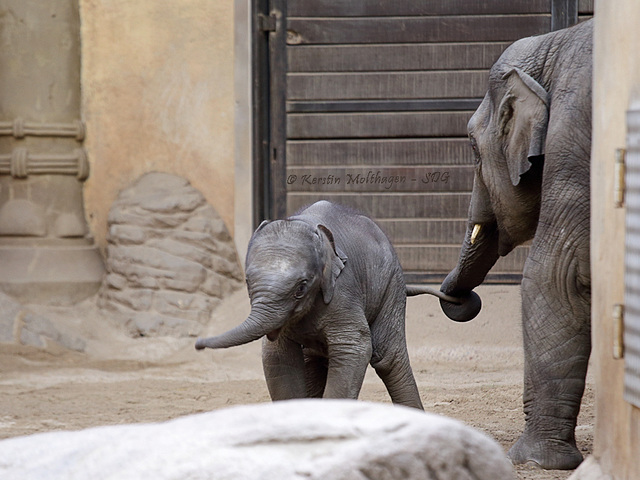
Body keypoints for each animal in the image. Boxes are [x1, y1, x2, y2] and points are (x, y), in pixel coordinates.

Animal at [195, 200, 430, 408]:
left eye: (301, 287)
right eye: (247, 281)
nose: (198, 343)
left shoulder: (342, 289)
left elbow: (354, 346)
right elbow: (278, 355)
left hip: (391, 284)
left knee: (387, 357)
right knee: (312, 360)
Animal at [438, 19, 592, 468]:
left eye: (472, 148)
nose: (462, 301)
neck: (554, 43)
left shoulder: (572, 141)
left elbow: (555, 277)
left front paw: (532, 460)